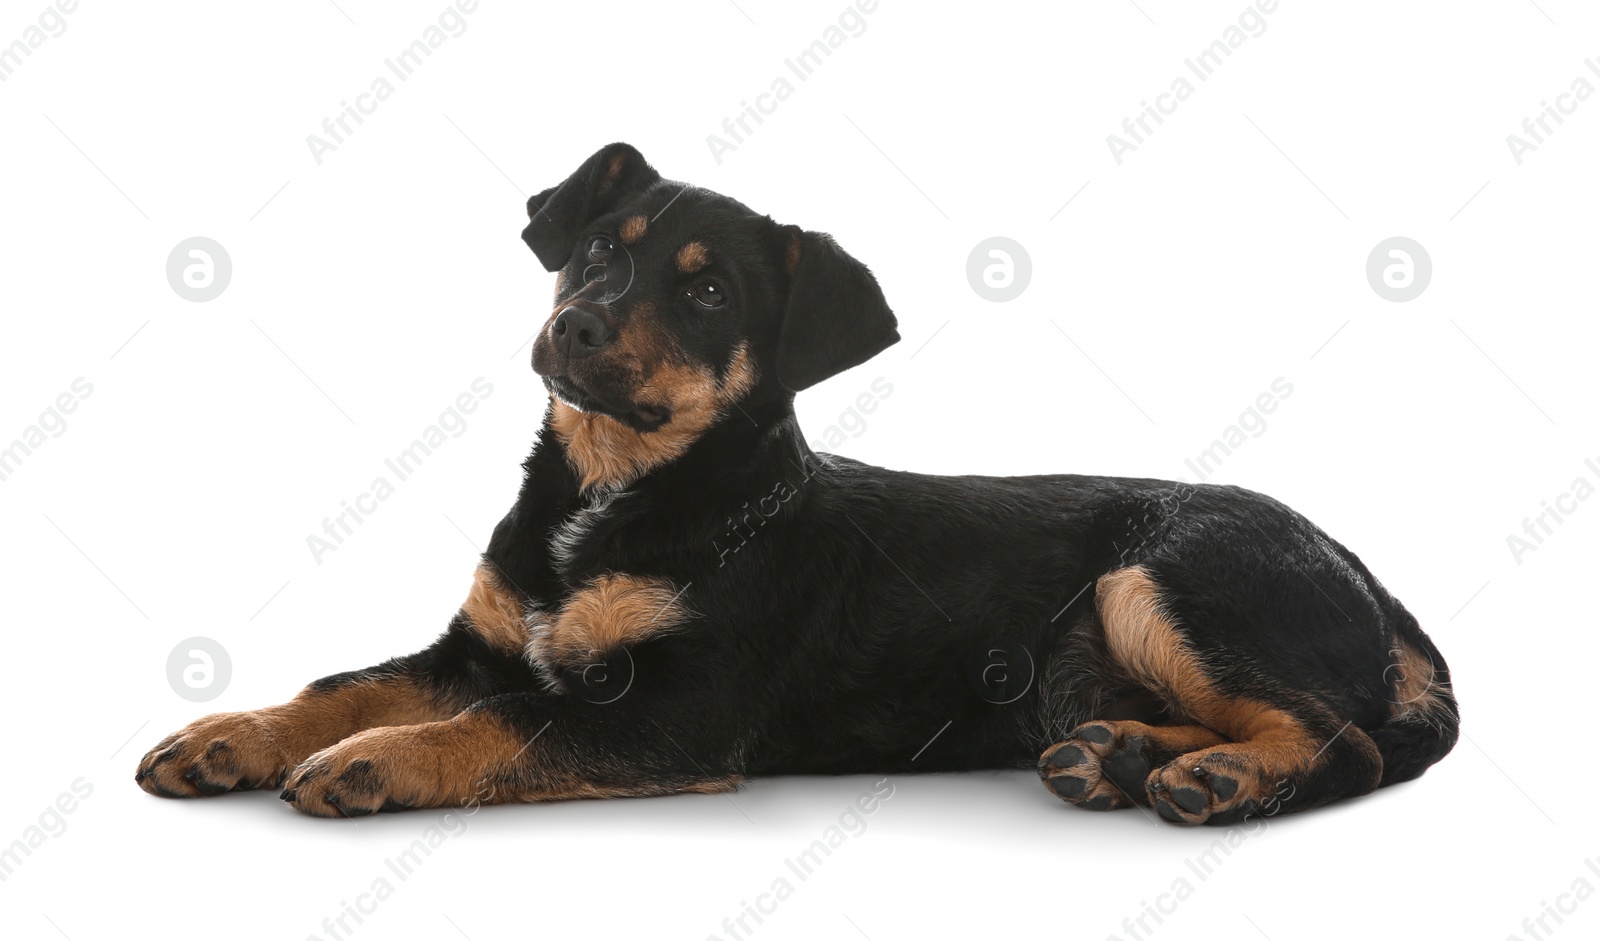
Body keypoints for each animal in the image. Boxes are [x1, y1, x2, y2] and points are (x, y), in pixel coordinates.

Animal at [137, 140, 1459, 825]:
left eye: (709, 291)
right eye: (595, 252)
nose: (573, 328)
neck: (611, 495)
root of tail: (1378, 587)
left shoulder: (672, 711)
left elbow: (501, 721)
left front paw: (374, 759)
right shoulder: (475, 642)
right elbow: (343, 682)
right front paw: (227, 734)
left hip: (1158, 570)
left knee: (1339, 735)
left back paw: (1214, 776)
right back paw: (1117, 754)